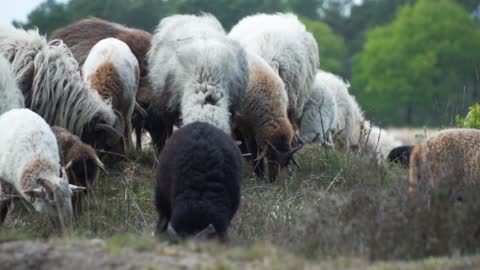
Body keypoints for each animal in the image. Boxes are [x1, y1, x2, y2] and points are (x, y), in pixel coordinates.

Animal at [49, 17, 153, 151]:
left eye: (101, 143)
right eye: (87, 139)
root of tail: (111, 39)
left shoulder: (128, 107)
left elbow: (127, 127)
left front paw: (130, 149)